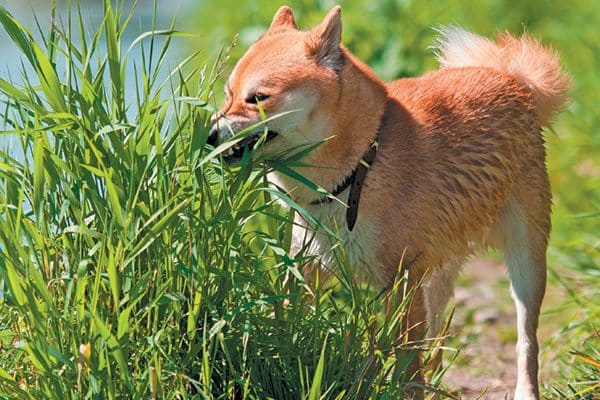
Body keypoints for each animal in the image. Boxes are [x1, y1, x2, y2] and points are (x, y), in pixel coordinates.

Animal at [209, 4, 568, 398]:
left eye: (258, 98)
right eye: (228, 94)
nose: (210, 135)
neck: (360, 167)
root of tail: (511, 79)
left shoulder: (401, 279)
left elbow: (406, 361)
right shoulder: (308, 267)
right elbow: (285, 325)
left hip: (525, 263)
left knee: (526, 341)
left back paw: (525, 389)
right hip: (438, 273)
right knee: (435, 339)